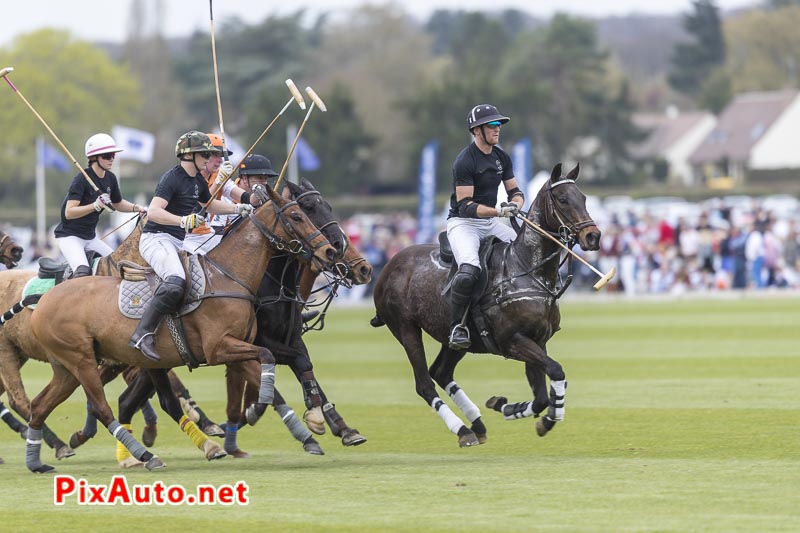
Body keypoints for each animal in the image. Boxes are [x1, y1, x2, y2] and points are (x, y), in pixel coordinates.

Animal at [22, 182, 334, 470]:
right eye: (297, 215)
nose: (330, 251)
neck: (228, 276)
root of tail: (44, 299)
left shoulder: (240, 347)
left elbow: (278, 368)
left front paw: (304, 422)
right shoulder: (219, 348)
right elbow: (269, 362)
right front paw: (265, 412)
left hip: (70, 367)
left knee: (40, 405)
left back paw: (36, 461)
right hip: (82, 360)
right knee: (102, 407)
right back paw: (145, 455)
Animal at [368, 164, 600, 446]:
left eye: (584, 198)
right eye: (564, 200)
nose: (593, 236)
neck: (527, 269)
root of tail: (388, 265)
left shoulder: (538, 340)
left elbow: (541, 396)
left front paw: (507, 407)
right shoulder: (512, 340)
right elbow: (556, 371)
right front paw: (545, 418)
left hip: (454, 336)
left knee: (441, 371)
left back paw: (477, 424)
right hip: (405, 328)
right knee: (424, 383)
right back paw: (463, 430)